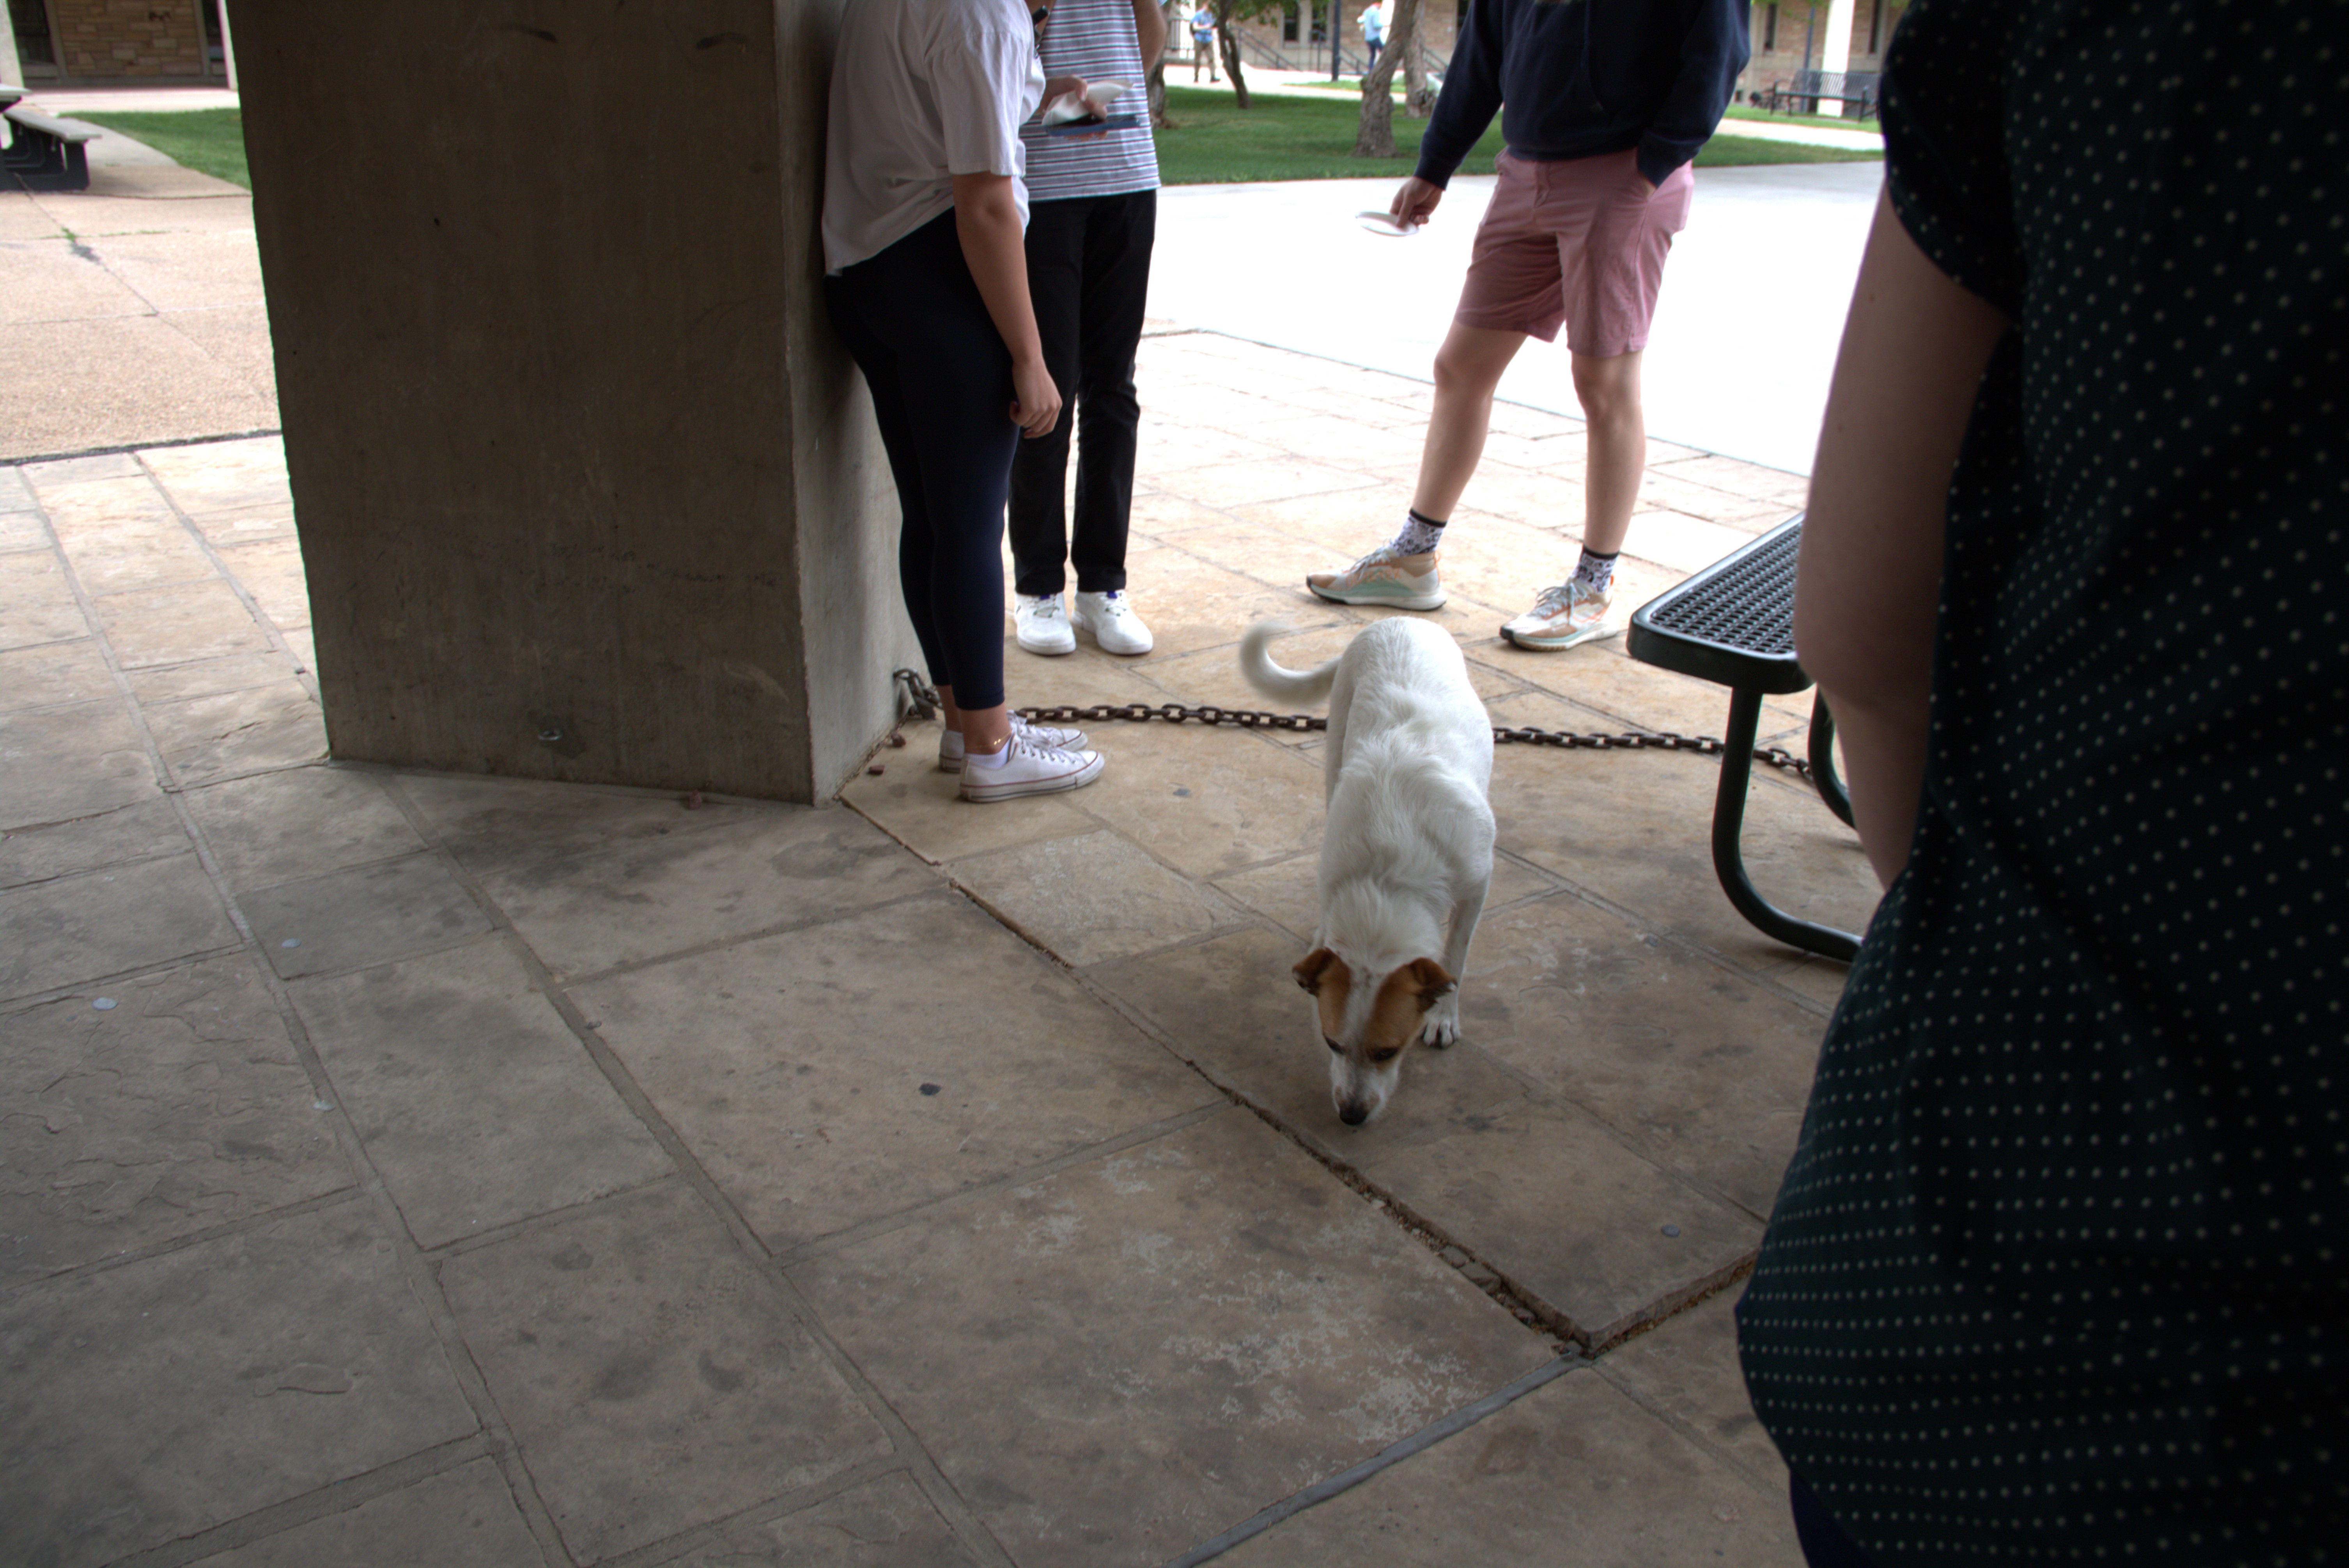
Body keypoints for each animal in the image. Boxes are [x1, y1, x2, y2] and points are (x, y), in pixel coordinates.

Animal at [1240, 615, 1494, 1127]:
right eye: (1332, 1044)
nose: (1351, 1115)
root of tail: (1394, 620)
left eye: (1388, 1051)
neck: (1386, 877)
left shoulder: (1477, 883)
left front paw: (1444, 1015)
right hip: (1336, 741)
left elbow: (1456, 955)